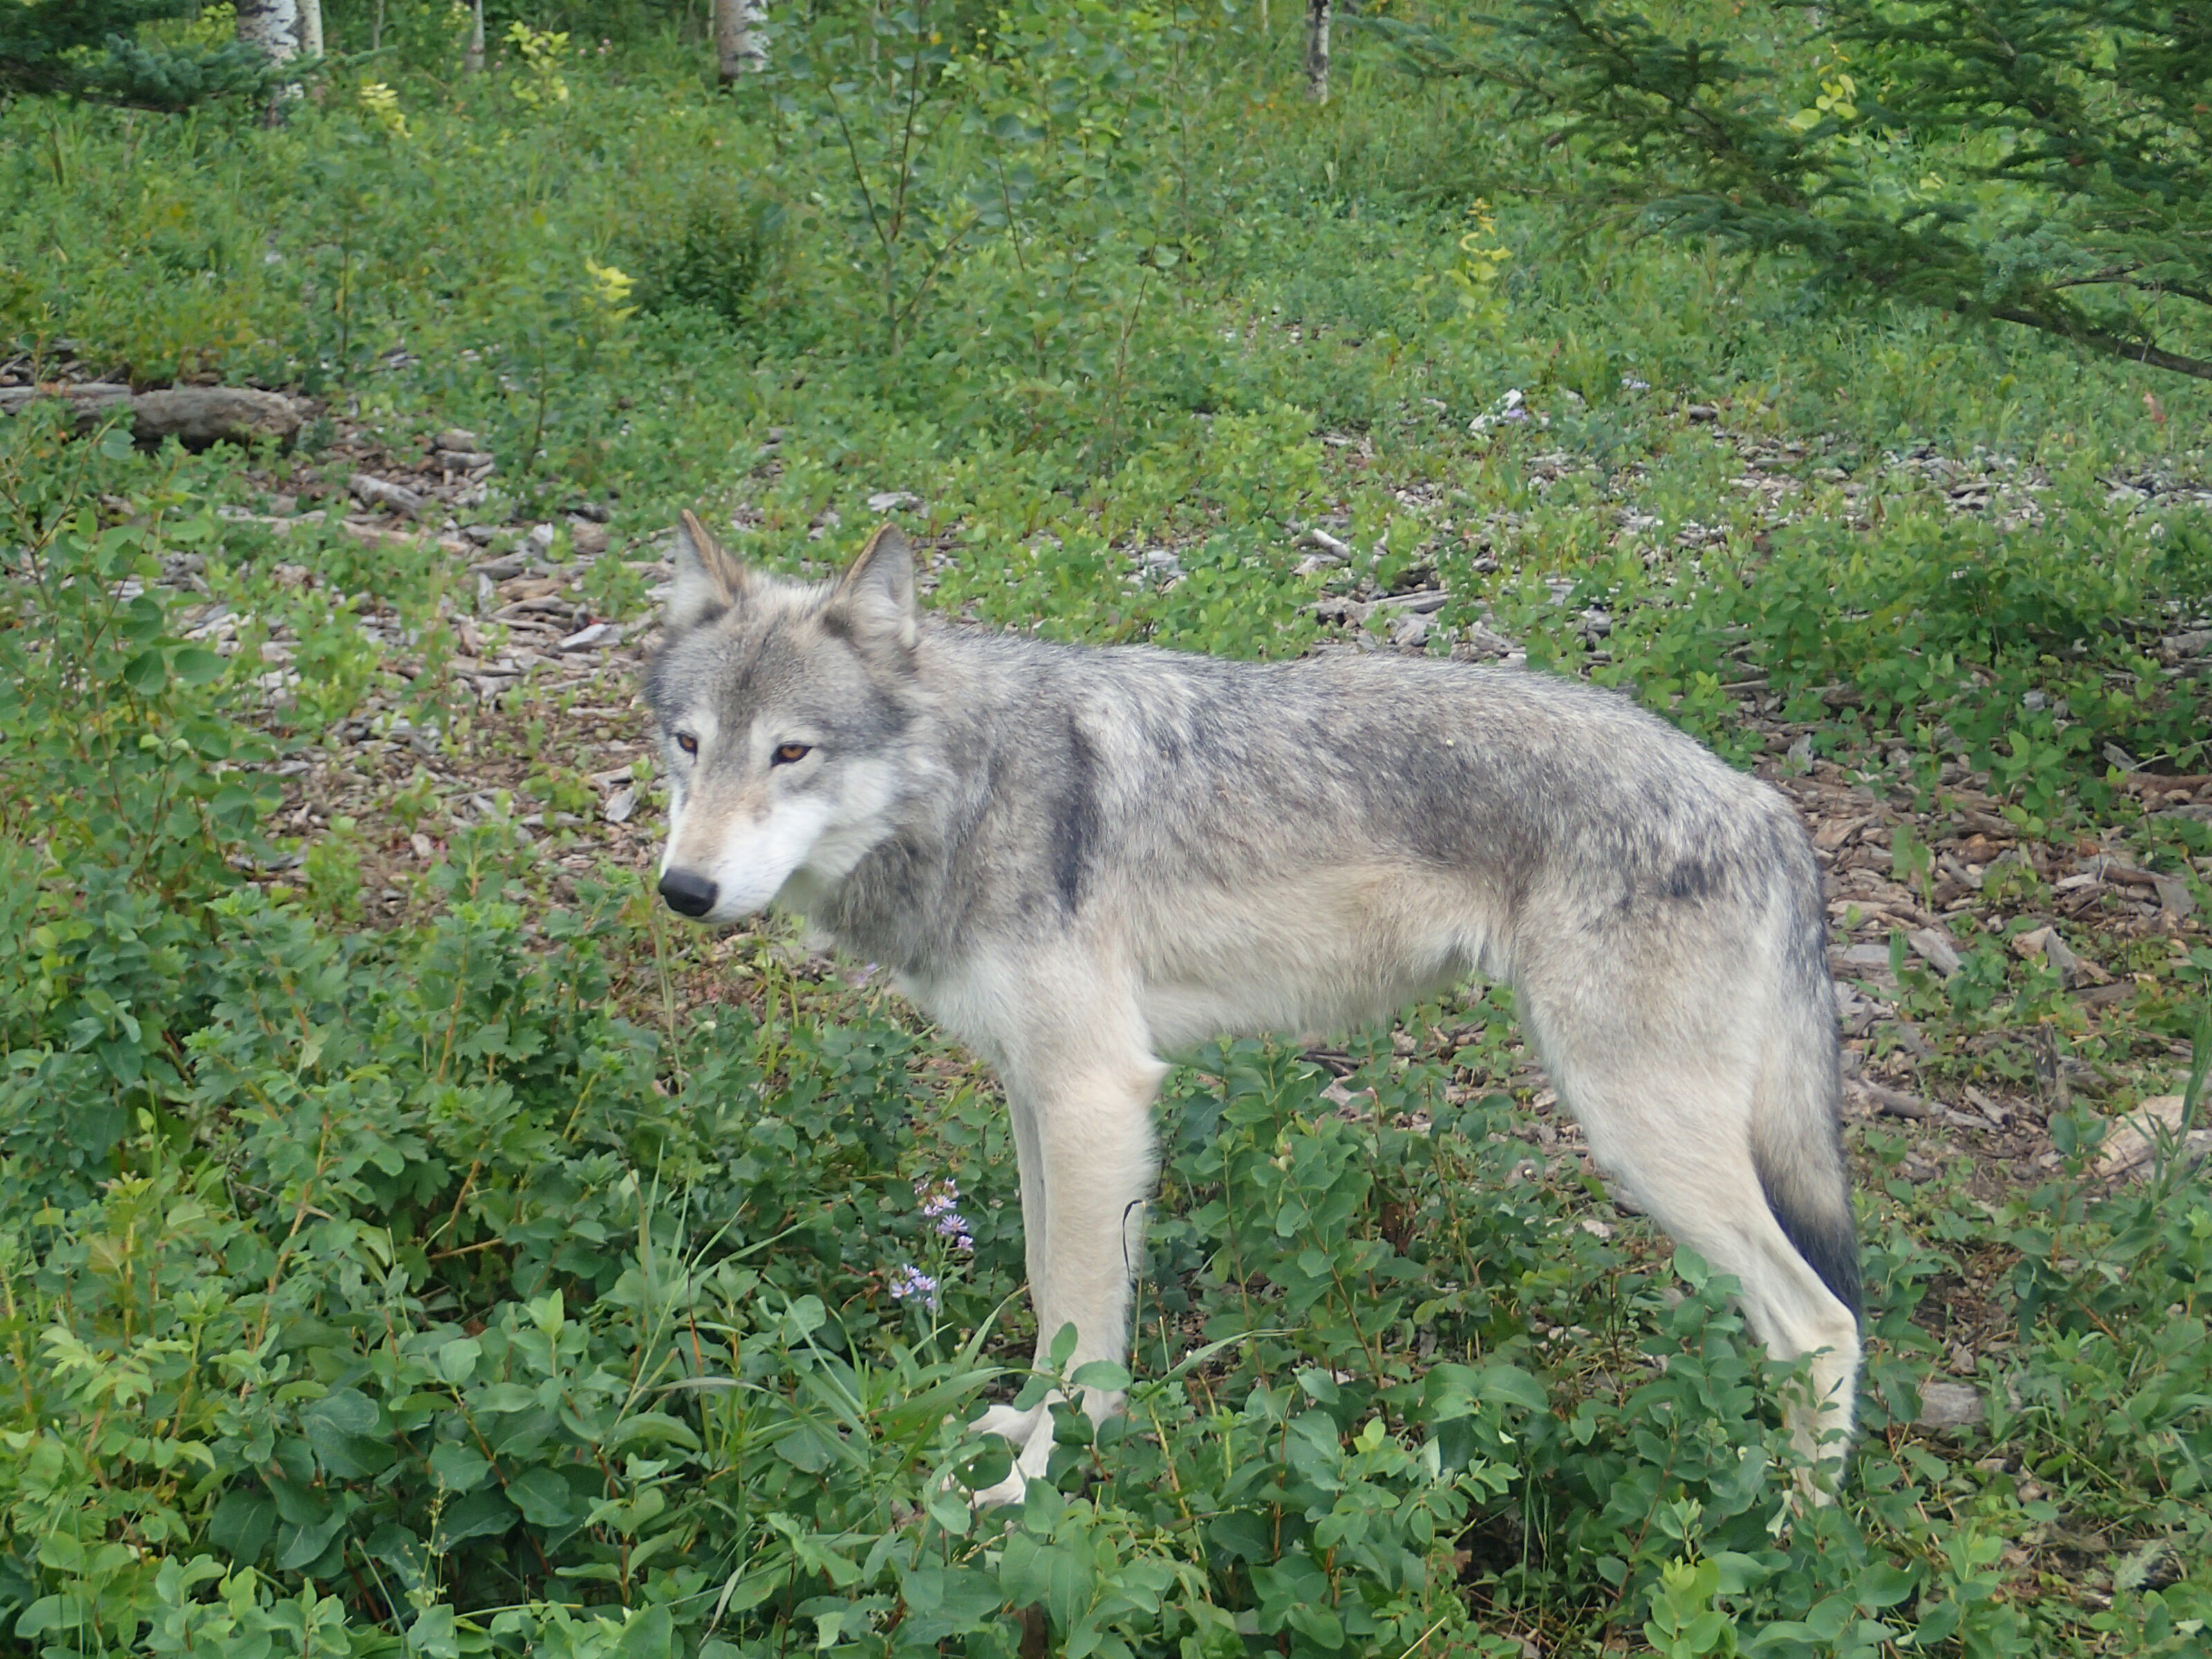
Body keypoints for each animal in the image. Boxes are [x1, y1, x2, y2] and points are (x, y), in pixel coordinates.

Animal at [644, 512, 1862, 1507]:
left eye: (791, 752)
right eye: (689, 744)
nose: (683, 890)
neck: (970, 787)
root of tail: (1764, 804)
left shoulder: (1097, 1097)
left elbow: (1082, 1321)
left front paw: (1043, 1482)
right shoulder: (1038, 1099)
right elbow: (1045, 1290)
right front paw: (1013, 1436)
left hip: (1635, 1135)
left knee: (1825, 1324)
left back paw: (1797, 1546)